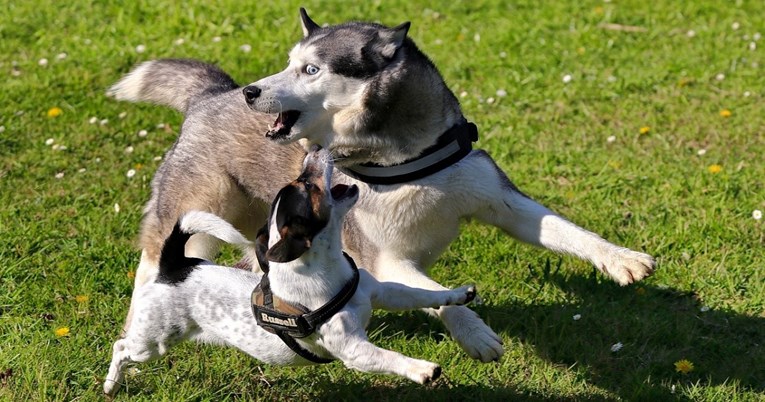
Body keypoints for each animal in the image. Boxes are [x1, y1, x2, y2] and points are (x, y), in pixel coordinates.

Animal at [104, 147, 474, 396]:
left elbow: (420, 294)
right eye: (307, 186)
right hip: (152, 342)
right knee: (121, 348)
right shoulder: (355, 351)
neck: (328, 271)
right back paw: (110, 385)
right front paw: (422, 369)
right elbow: (391, 357)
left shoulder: (381, 292)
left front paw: (458, 294)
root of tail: (175, 265)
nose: (315, 150)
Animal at [109, 8, 656, 362]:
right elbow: (435, 294)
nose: (252, 91)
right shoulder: (385, 258)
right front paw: (475, 333)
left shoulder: (499, 200)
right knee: (155, 264)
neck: (406, 160)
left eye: (310, 69)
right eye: (289, 63)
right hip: (193, 214)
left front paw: (620, 259)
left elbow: (561, 230)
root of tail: (211, 93)